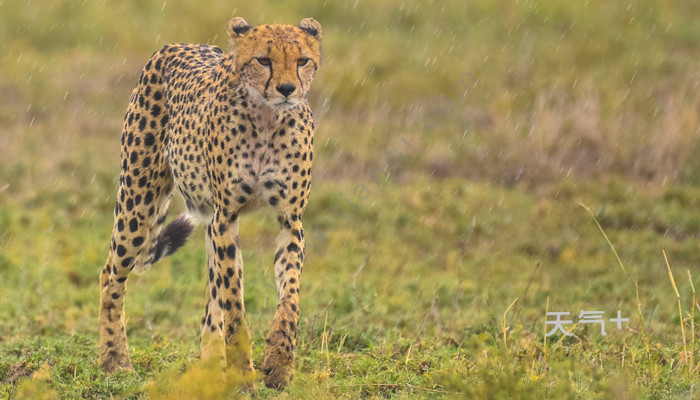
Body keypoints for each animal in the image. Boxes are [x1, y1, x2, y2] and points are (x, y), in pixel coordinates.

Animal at [98, 17, 322, 390]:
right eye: (264, 60)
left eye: (302, 60)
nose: (288, 89)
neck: (267, 118)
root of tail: (177, 45)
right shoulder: (225, 217)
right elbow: (233, 302)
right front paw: (244, 372)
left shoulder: (290, 221)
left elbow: (289, 294)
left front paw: (278, 362)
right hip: (138, 201)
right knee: (111, 274)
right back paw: (114, 360)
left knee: (209, 304)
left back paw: (211, 370)